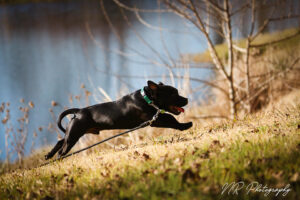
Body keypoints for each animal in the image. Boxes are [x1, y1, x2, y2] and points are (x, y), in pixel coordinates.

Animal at [44, 80, 192, 160]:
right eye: (173, 94)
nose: (186, 99)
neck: (147, 98)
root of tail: (79, 111)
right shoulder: (155, 120)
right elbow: (171, 119)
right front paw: (185, 125)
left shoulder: (156, 118)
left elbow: (170, 117)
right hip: (74, 135)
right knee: (62, 149)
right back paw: (58, 159)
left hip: (73, 132)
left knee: (60, 141)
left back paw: (48, 156)